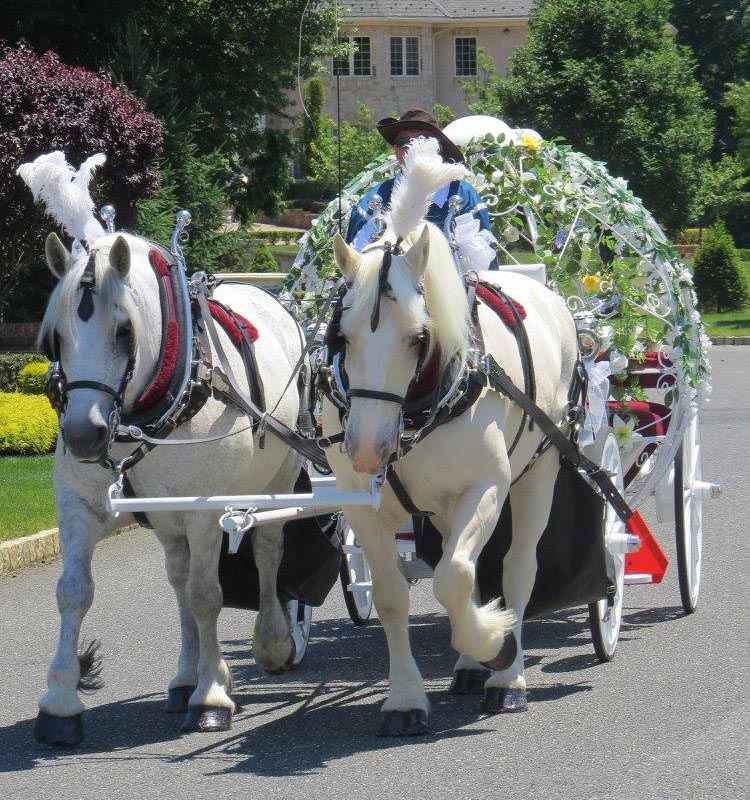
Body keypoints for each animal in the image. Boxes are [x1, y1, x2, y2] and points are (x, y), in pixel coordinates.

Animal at [34, 231, 306, 744]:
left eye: (124, 331)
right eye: (55, 339)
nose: (82, 435)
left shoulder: (204, 512)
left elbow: (207, 596)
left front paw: (211, 695)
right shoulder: (79, 507)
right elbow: (72, 592)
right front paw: (59, 703)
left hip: (279, 480)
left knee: (267, 550)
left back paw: (271, 642)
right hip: (166, 518)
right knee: (178, 578)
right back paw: (184, 677)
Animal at [324, 141, 580, 736]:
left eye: (419, 337)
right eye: (341, 336)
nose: (366, 450)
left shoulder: (484, 487)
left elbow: (456, 577)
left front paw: (494, 643)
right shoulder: (365, 507)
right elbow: (395, 595)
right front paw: (405, 697)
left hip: (539, 470)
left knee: (516, 568)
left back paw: (507, 676)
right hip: (438, 506)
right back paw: (467, 665)